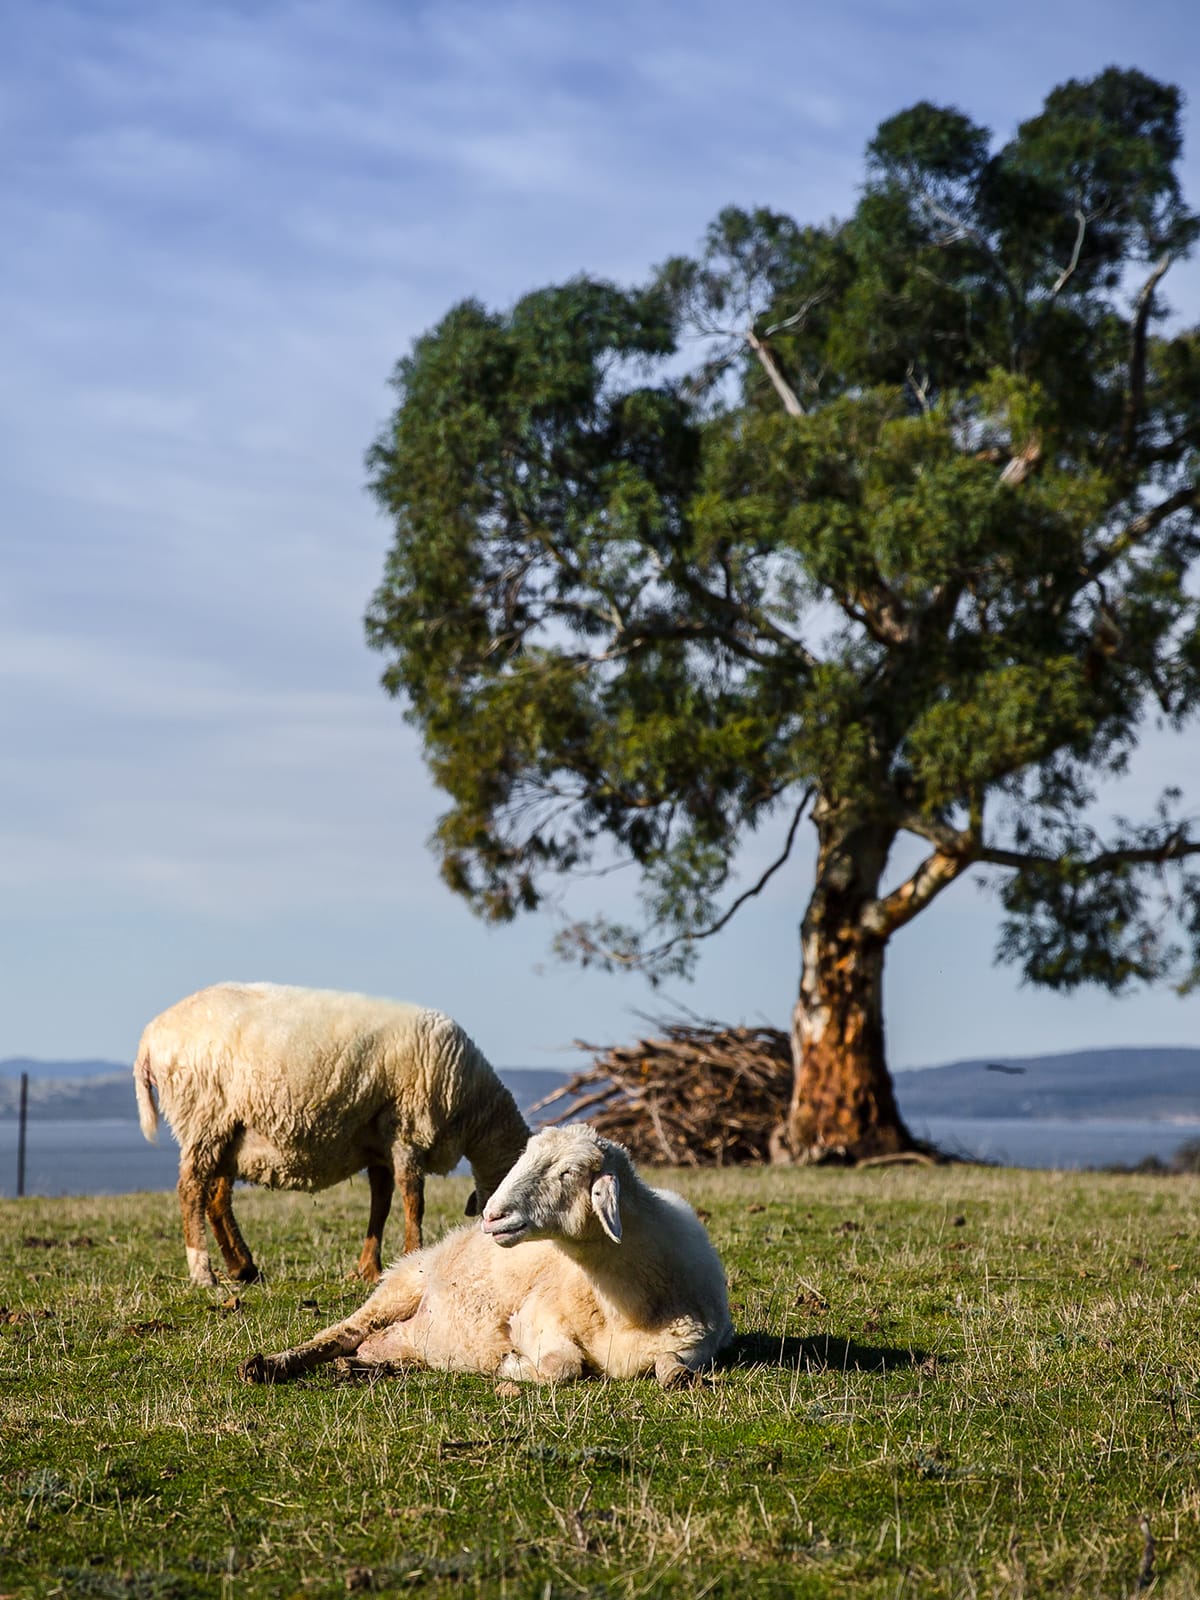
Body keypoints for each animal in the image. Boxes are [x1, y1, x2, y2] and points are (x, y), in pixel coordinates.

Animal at [133, 982, 531, 1288]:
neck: (475, 1112)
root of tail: (150, 1037)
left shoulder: (380, 1144)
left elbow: (381, 1203)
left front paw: (368, 1268)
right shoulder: (407, 1130)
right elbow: (413, 1201)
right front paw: (412, 1255)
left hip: (231, 1131)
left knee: (216, 1200)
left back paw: (243, 1268)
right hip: (203, 1114)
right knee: (191, 1190)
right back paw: (203, 1273)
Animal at [238, 1122, 733, 1388]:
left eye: (568, 1172)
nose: (492, 1215)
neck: (624, 1306)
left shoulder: (696, 1344)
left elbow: (675, 1372)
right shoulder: (535, 1319)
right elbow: (563, 1367)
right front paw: (512, 1365)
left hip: (410, 1337)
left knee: (370, 1347)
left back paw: (361, 1366)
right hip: (400, 1285)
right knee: (339, 1334)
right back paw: (267, 1365)